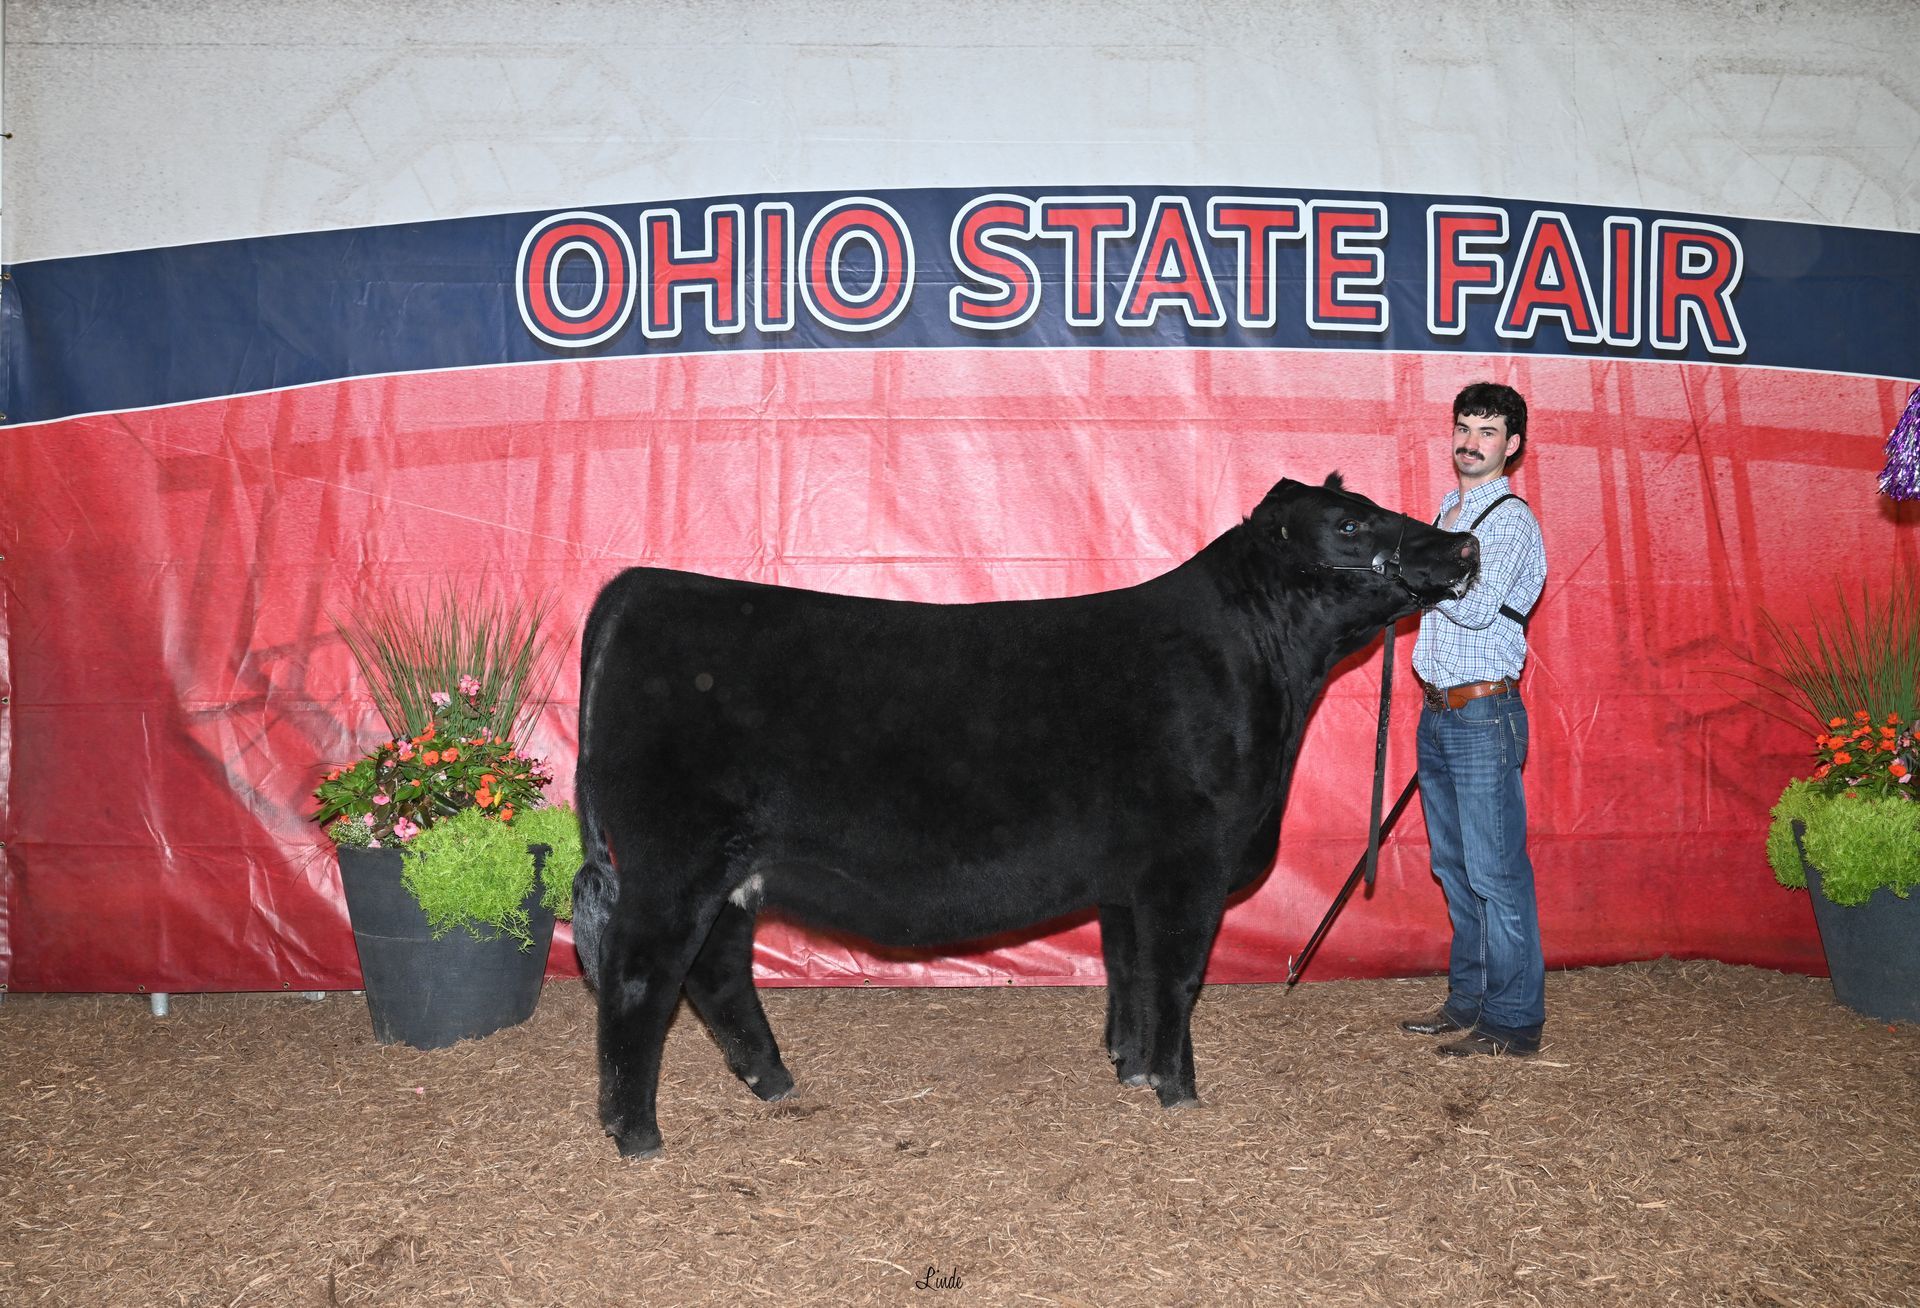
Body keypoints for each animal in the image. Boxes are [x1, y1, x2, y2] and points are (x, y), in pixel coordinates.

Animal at [571, 473, 1478, 1157]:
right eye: (1351, 523)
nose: (1464, 546)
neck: (1264, 673)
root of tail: (641, 585)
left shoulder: (1129, 878)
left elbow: (1128, 970)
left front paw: (1132, 1068)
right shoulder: (1189, 865)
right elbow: (1179, 976)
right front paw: (1179, 1091)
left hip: (731, 867)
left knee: (716, 970)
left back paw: (772, 1082)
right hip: (674, 862)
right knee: (641, 976)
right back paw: (635, 1131)